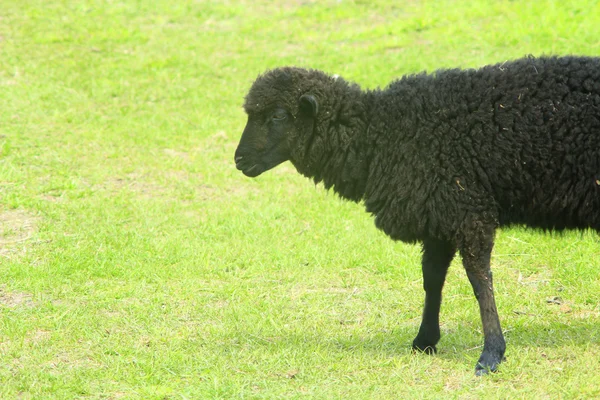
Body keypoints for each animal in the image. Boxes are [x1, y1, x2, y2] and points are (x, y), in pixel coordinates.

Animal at [233, 56, 600, 376]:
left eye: (278, 116)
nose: (238, 160)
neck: (380, 136)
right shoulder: (439, 213)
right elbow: (432, 279)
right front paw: (425, 340)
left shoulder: (469, 210)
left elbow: (480, 281)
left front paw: (491, 353)